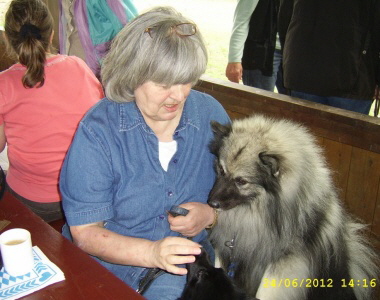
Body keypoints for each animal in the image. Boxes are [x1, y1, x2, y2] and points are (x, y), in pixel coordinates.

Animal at [208, 115, 380, 300]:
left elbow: (265, 290)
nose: (211, 203)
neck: (262, 210)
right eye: (221, 170)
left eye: (241, 181)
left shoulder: (285, 259)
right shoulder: (228, 246)